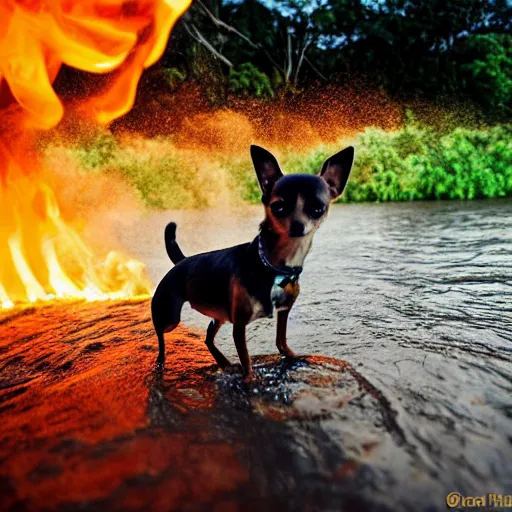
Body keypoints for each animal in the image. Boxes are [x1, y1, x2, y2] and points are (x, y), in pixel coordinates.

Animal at [150, 143, 354, 380]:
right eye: (278, 207)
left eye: (317, 209)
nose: (297, 226)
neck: (275, 268)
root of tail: (181, 262)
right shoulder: (239, 325)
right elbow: (247, 361)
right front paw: (250, 379)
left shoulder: (283, 312)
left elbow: (282, 343)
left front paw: (296, 359)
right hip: (170, 318)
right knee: (161, 337)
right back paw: (161, 361)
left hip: (218, 316)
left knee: (208, 338)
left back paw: (224, 363)